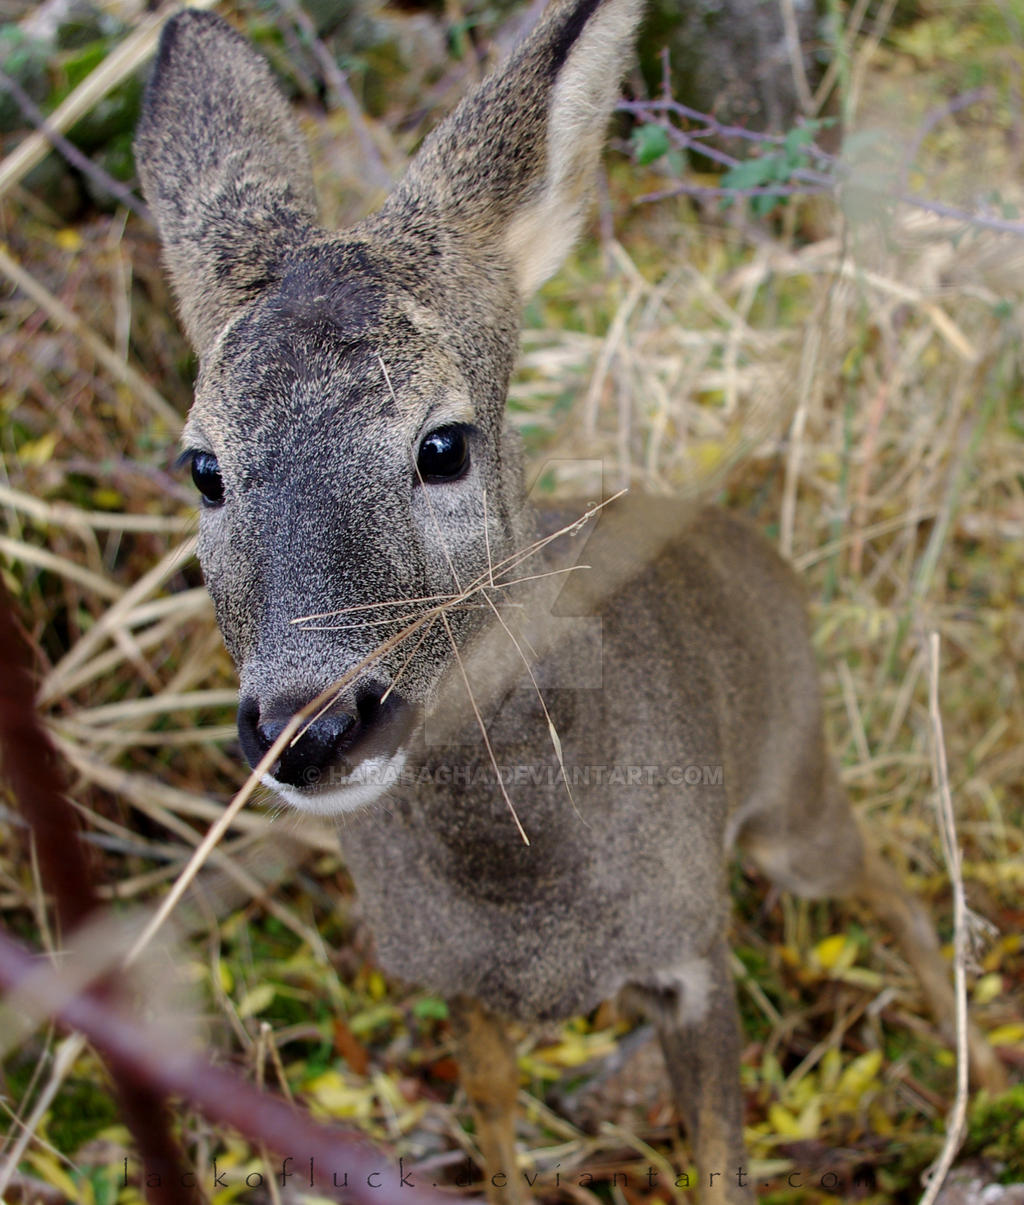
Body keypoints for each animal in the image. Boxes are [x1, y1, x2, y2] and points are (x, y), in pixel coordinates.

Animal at [135, 4, 1007, 1200]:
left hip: (792, 799)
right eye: (203, 467)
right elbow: (497, 1112)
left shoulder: (690, 951)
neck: (521, 887)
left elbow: (721, 1164)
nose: (310, 728)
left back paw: (981, 1057)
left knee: (887, 873)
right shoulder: (448, 977)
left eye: (442, 444)